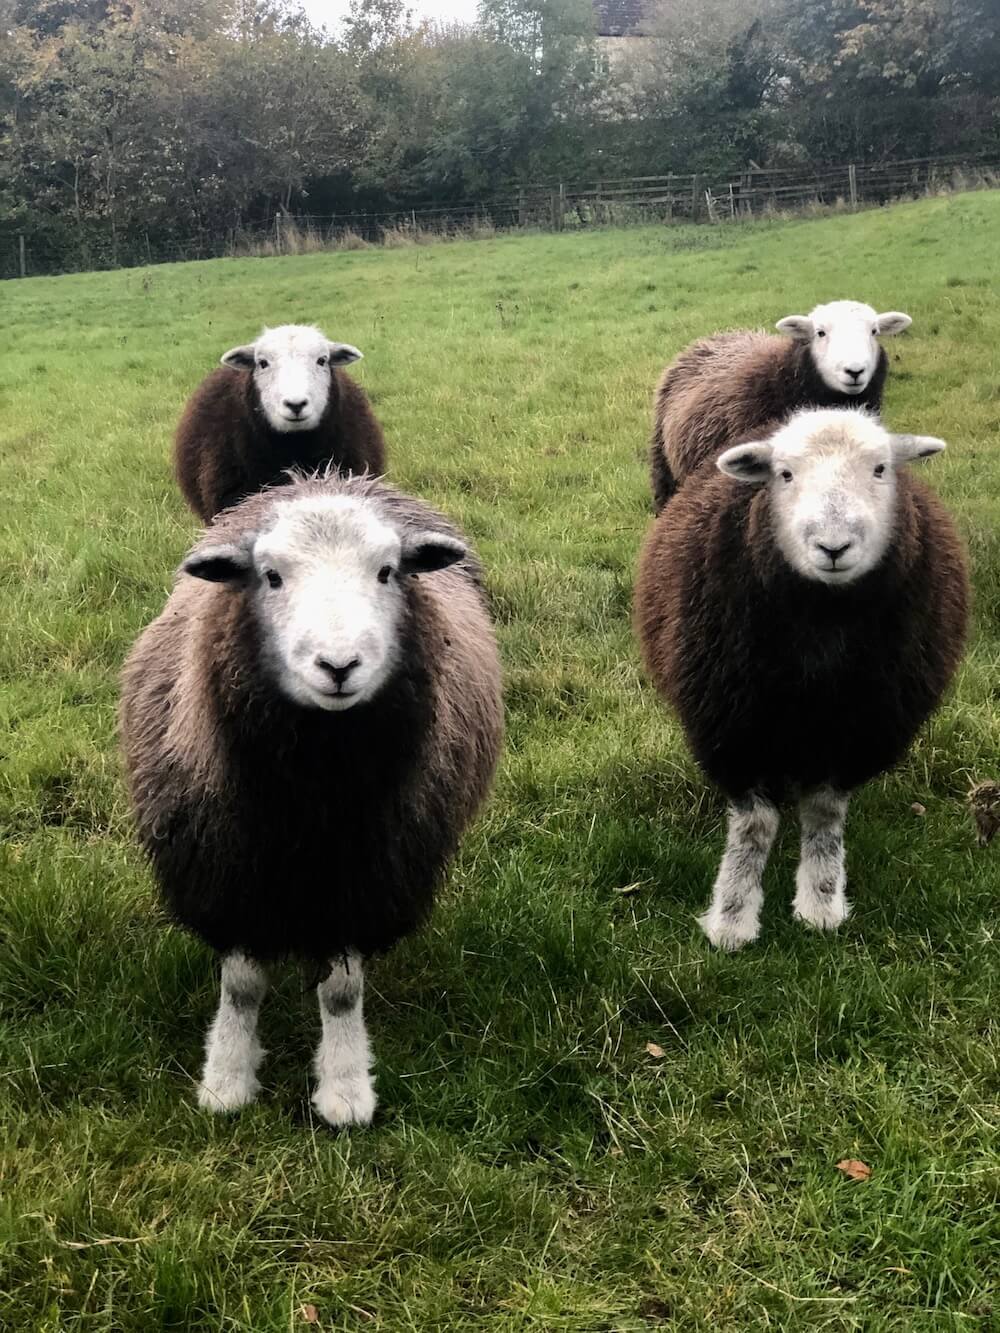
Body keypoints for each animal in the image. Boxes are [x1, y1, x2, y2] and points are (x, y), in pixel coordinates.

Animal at [121, 469, 504, 1125]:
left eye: (388, 571)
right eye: (271, 576)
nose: (339, 665)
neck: (315, 789)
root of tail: (326, 477)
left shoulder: (362, 878)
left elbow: (343, 991)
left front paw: (344, 1087)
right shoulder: (231, 871)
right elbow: (241, 986)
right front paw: (227, 1078)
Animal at [637, 405, 976, 949]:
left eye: (881, 469)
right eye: (784, 474)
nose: (833, 547)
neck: (822, 624)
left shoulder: (860, 730)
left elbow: (823, 814)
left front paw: (820, 902)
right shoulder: (733, 725)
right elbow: (754, 825)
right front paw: (733, 916)